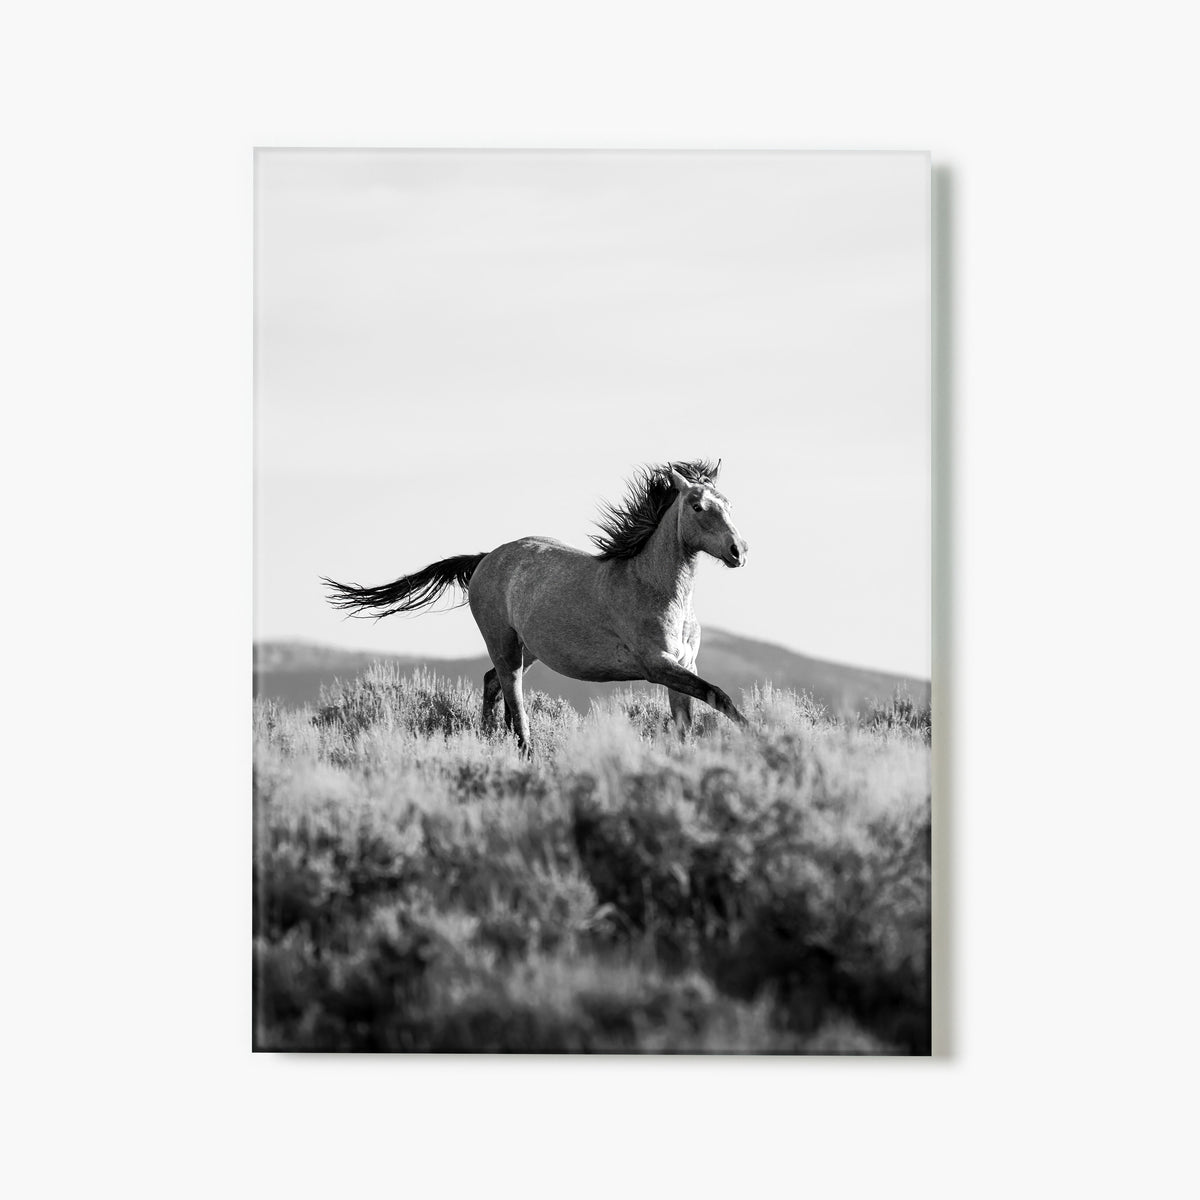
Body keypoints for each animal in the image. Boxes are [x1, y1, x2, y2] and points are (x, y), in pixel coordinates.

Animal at [322, 459, 750, 755]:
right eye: (697, 506)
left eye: (728, 504)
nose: (738, 551)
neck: (653, 588)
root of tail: (486, 558)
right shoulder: (658, 666)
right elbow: (718, 696)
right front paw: (758, 735)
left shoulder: (684, 664)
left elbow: (691, 720)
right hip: (505, 645)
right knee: (513, 696)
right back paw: (524, 753)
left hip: (528, 651)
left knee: (492, 684)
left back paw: (488, 740)